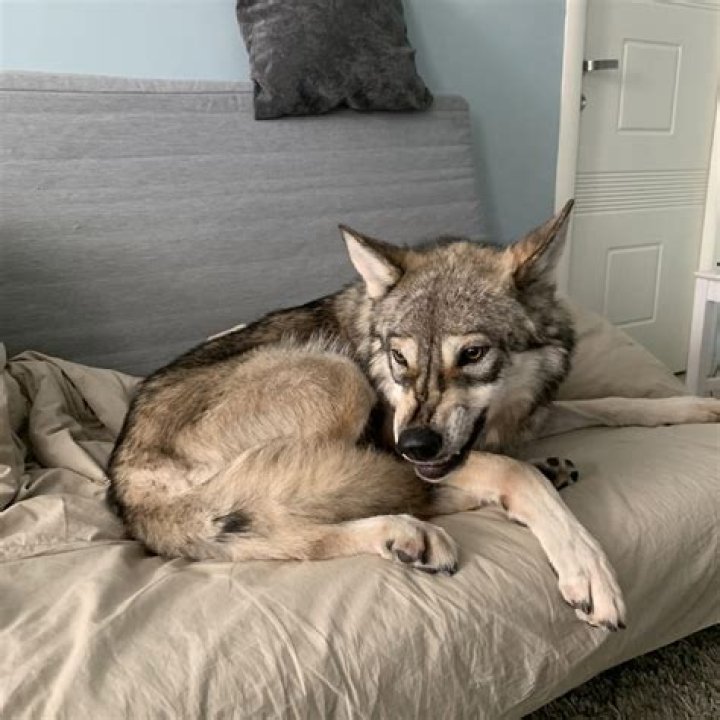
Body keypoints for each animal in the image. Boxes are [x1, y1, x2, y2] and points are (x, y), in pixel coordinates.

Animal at [108, 200, 719, 630]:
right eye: (400, 358)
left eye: (472, 354)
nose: (416, 446)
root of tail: (121, 479)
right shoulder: (390, 432)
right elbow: (515, 472)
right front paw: (585, 566)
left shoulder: (528, 416)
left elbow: (612, 403)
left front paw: (696, 405)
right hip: (337, 380)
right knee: (281, 522)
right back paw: (410, 531)